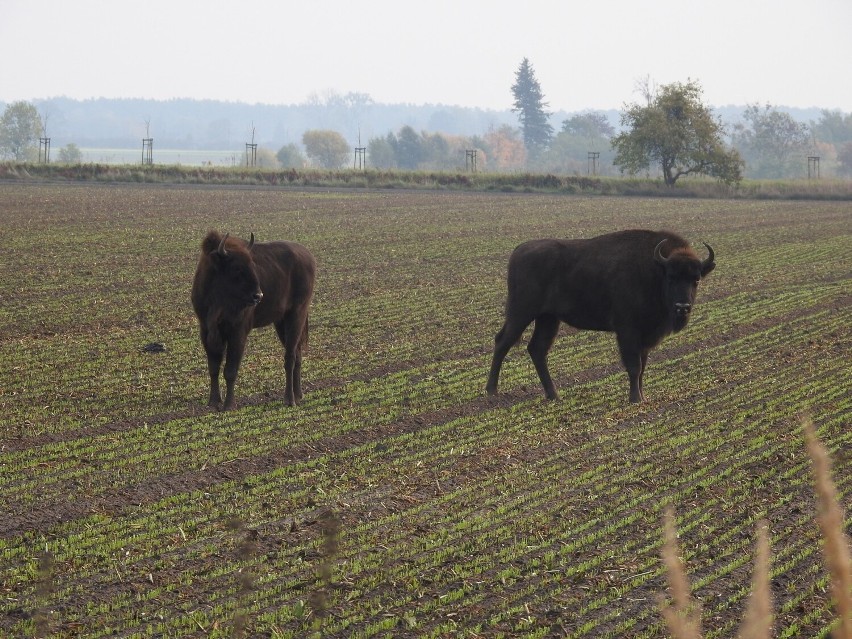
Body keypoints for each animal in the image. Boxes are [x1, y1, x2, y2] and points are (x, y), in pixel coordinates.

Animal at [190, 230, 316, 410]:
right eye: (236, 268)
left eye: (251, 264)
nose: (258, 295)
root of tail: (308, 256)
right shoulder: (207, 332)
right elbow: (213, 367)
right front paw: (214, 403)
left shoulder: (237, 333)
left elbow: (230, 370)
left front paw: (229, 405)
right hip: (281, 322)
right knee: (297, 354)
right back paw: (298, 395)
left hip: (296, 315)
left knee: (290, 357)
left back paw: (289, 399)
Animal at [486, 228, 712, 402]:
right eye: (671, 277)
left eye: (696, 279)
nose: (682, 307)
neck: (655, 270)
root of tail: (519, 250)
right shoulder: (627, 331)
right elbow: (634, 366)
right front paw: (635, 399)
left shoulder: (645, 336)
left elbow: (643, 366)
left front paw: (642, 396)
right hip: (521, 313)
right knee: (503, 342)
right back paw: (492, 391)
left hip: (548, 318)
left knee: (537, 349)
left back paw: (554, 395)